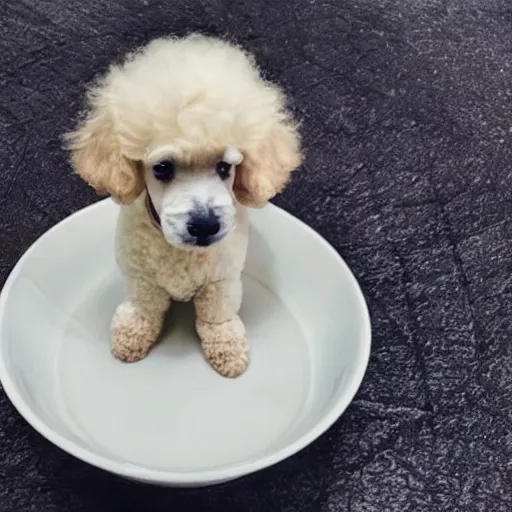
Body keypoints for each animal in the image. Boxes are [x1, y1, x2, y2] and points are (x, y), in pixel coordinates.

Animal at [66, 32, 302, 376]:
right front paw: (132, 334)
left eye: (225, 168)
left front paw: (228, 349)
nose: (205, 226)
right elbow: (145, 309)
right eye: (162, 168)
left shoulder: (222, 280)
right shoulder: (141, 277)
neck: (181, 253)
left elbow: (217, 317)